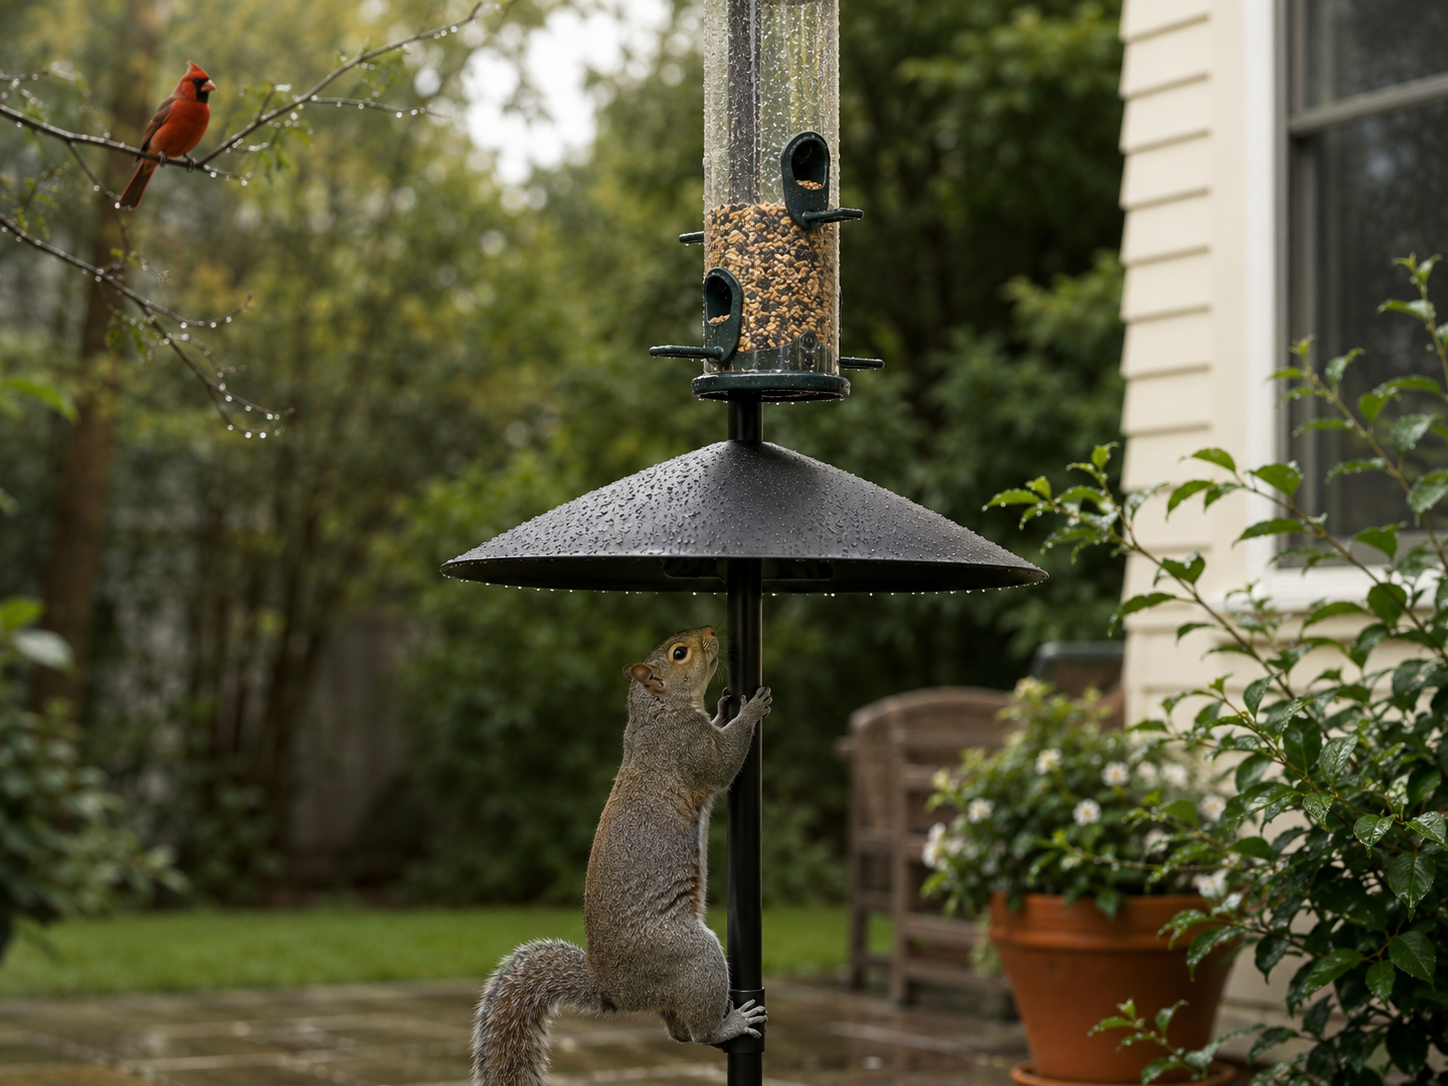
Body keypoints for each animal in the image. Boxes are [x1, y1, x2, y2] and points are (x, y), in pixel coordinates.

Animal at [472, 625, 773, 1086]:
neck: (656, 711)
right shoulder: (686, 747)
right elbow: (723, 763)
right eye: (680, 653)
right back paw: (731, 1024)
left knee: (677, 1027)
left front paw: (725, 707)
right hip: (692, 958)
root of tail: (614, 989)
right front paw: (751, 710)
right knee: (699, 1031)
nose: (710, 631)